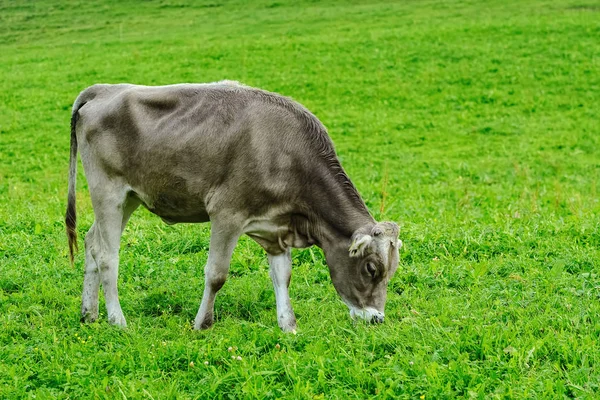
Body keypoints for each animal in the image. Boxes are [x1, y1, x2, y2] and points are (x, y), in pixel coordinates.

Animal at [65, 81, 404, 332]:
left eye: (391, 271)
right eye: (371, 268)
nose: (377, 319)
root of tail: (104, 88)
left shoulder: (275, 227)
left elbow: (282, 275)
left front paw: (288, 326)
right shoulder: (226, 213)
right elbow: (217, 274)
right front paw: (202, 324)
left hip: (130, 197)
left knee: (92, 242)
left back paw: (89, 313)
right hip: (107, 190)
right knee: (108, 255)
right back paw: (117, 320)